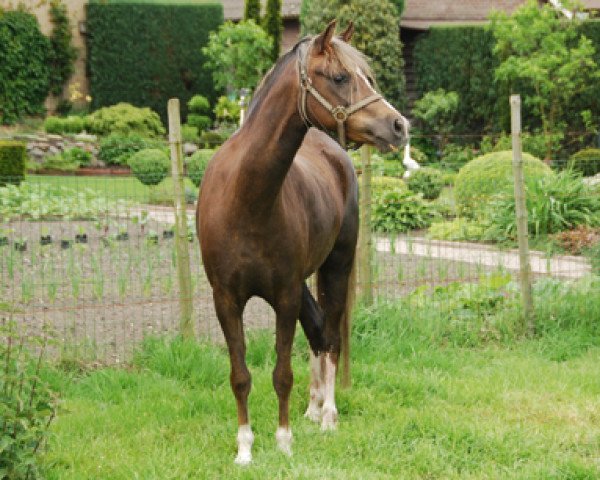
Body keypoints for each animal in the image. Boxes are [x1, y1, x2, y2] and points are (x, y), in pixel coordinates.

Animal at [197, 20, 408, 464]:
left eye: (368, 77)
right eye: (340, 77)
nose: (399, 126)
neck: (248, 197)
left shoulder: (284, 294)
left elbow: (281, 373)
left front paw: (283, 442)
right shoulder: (226, 298)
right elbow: (240, 375)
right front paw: (245, 449)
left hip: (335, 268)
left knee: (331, 335)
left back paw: (327, 414)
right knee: (317, 330)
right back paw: (313, 408)